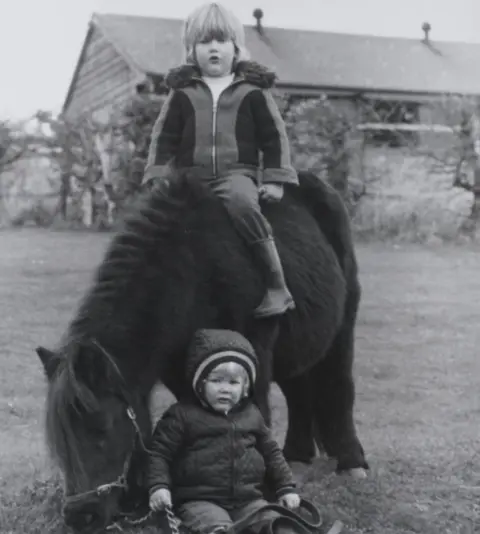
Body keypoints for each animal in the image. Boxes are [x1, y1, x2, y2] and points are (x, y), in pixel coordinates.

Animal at [37, 172, 368, 532]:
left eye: (101, 430)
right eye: (59, 440)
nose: (80, 516)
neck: (192, 272)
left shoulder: (253, 358)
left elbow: (256, 418)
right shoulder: (182, 370)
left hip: (342, 330)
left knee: (339, 385)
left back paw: (352, 462)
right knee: (299, 393)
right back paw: (297, 456)